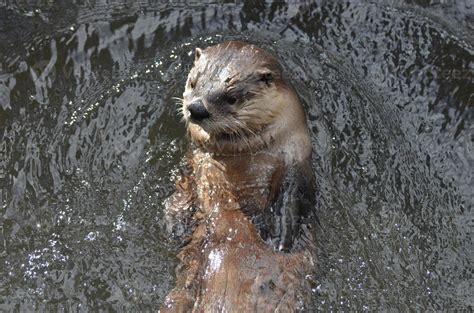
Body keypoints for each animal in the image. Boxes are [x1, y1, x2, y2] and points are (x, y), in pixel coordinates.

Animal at [161, 41, 316, 312]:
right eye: (193, 82)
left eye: (231, 98)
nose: (196, 108)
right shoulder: (193, 161)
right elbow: (183, 188)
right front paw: (175, 221)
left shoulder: (296, 160)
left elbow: (292, 196)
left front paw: (282, 238)